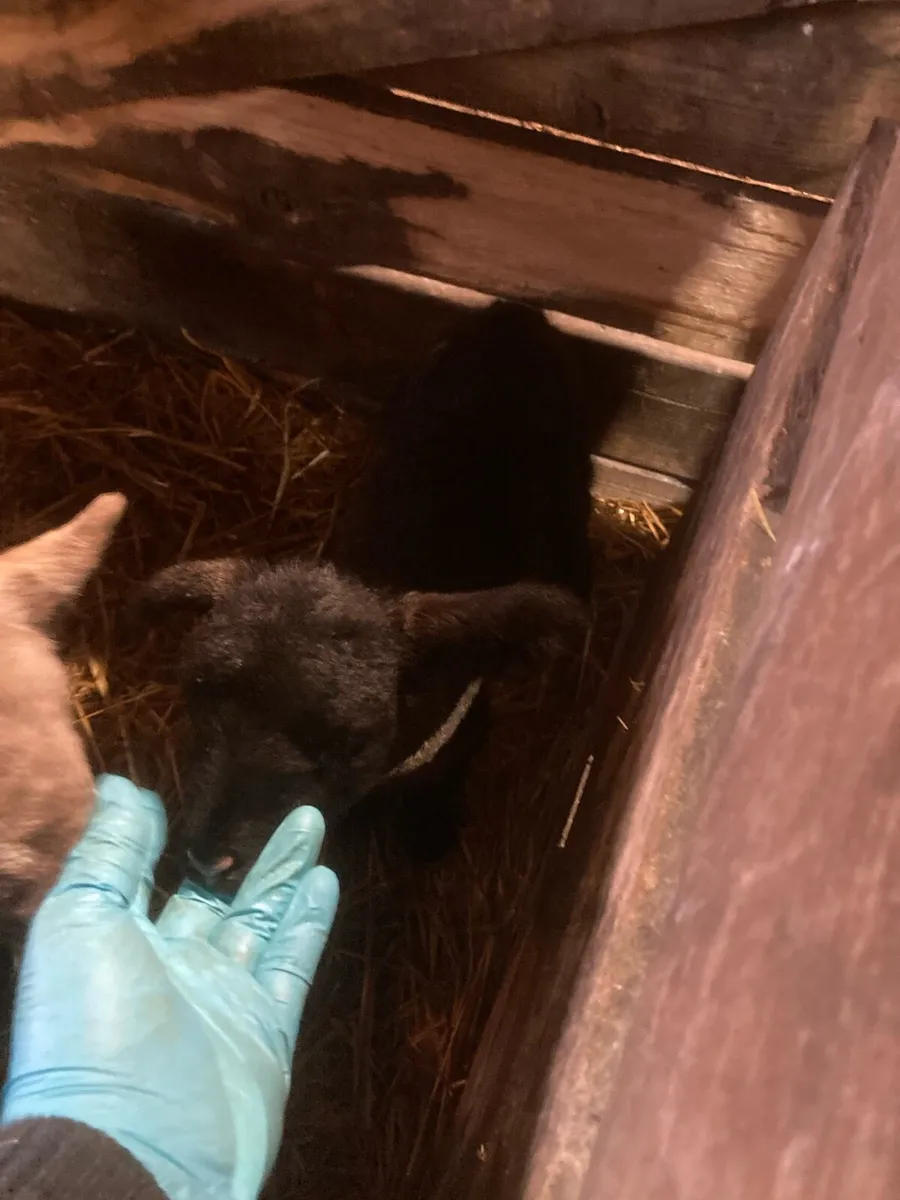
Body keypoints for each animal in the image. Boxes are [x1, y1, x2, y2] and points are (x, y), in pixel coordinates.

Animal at [142, 301, 593, 890]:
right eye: (196, 703)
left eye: (347, 743)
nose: (207, 860)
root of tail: (513, 313)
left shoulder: (463, 732)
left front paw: (430, 832)